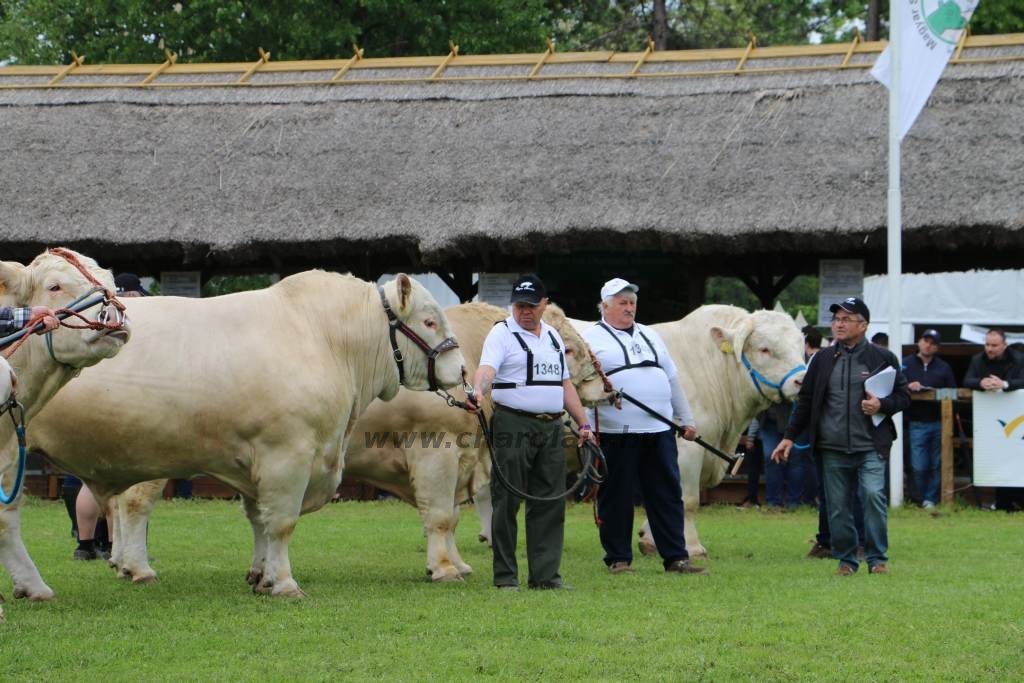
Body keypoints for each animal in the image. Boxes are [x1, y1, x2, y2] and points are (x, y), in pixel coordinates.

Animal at [24, 272, 464, 598]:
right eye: (429, 321)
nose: (460, 369)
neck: (325, 340)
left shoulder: (255, 463)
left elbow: (259, 521)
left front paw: (261, 575)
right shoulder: (287, 455)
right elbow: (281, 522)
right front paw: (284, 583)